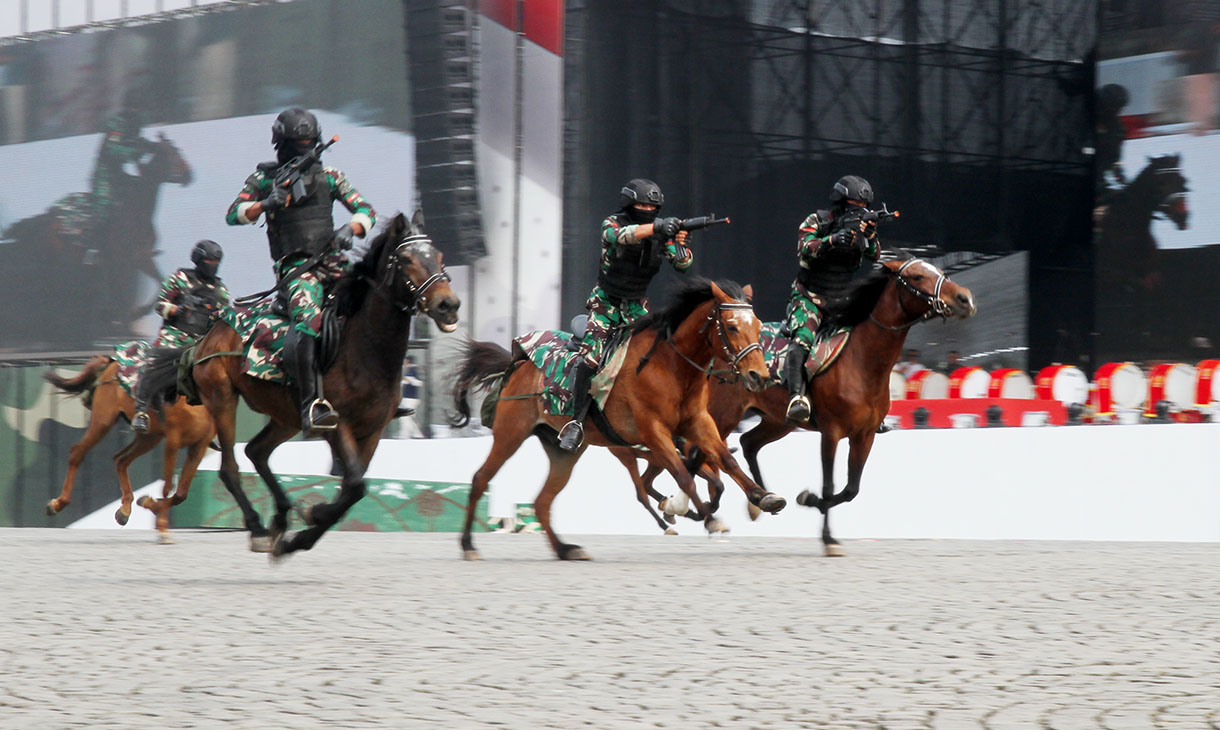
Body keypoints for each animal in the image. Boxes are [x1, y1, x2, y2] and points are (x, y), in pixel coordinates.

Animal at [0, 134, 191, 351]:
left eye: (178, 151)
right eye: (171, 154)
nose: (189, 174)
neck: (136, 209)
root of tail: (46, 217)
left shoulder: (140, 258)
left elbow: (158, 282)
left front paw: (135, 316)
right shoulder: (122, 262)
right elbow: (121, 295)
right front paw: (124, 324)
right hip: (60, 266)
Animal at [41, 354, 214, 544]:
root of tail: (112, 363)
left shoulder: (199, 445)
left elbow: (181, 493)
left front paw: (149, 505)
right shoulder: (173, 440)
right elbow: (168, 487)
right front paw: (162, 527)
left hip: (149, 436)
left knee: (121, 459)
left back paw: (125, 510)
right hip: (103, 420)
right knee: (78, 452)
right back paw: (58, 503)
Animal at [181, 211, 461, 554]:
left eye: (439, 257)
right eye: (406, 259)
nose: (448, 305)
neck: (363, 350)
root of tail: (211, 334)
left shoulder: (373, 430)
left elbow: (352, 489)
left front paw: (305, 529)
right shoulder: (336, 424)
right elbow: (354, 485)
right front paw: (313, 515)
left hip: (286, 416)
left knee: (257, 452)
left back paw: (281, 516)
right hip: (222, 399)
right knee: (230, 468)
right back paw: (259, 528)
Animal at [453, 279, 785, 561]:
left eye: (757, 326)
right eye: (731, 326)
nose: (759, 376)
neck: (672, 366)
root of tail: (519, 365)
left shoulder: (698, 423)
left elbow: (725, 465)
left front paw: (763, 498)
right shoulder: (653, 431)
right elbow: (683, 476)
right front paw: (699, 514)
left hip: (563, 451)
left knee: (542, 501)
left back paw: (565, 549)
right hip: (511, 432)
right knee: (481, 478)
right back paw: (468, 545)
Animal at [619, 257, 971, 554]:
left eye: (938, 270)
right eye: (917, 276)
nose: (964, 298)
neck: (862, 361)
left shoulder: (865, 434)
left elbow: (851, 489)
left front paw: (810, 506)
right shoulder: (831, 431)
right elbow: (830, 485)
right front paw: (826, 534)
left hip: (778, 421)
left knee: (744, 444)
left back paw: (748, 501)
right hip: (723, 416)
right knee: (694, 456)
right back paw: (688, 505)